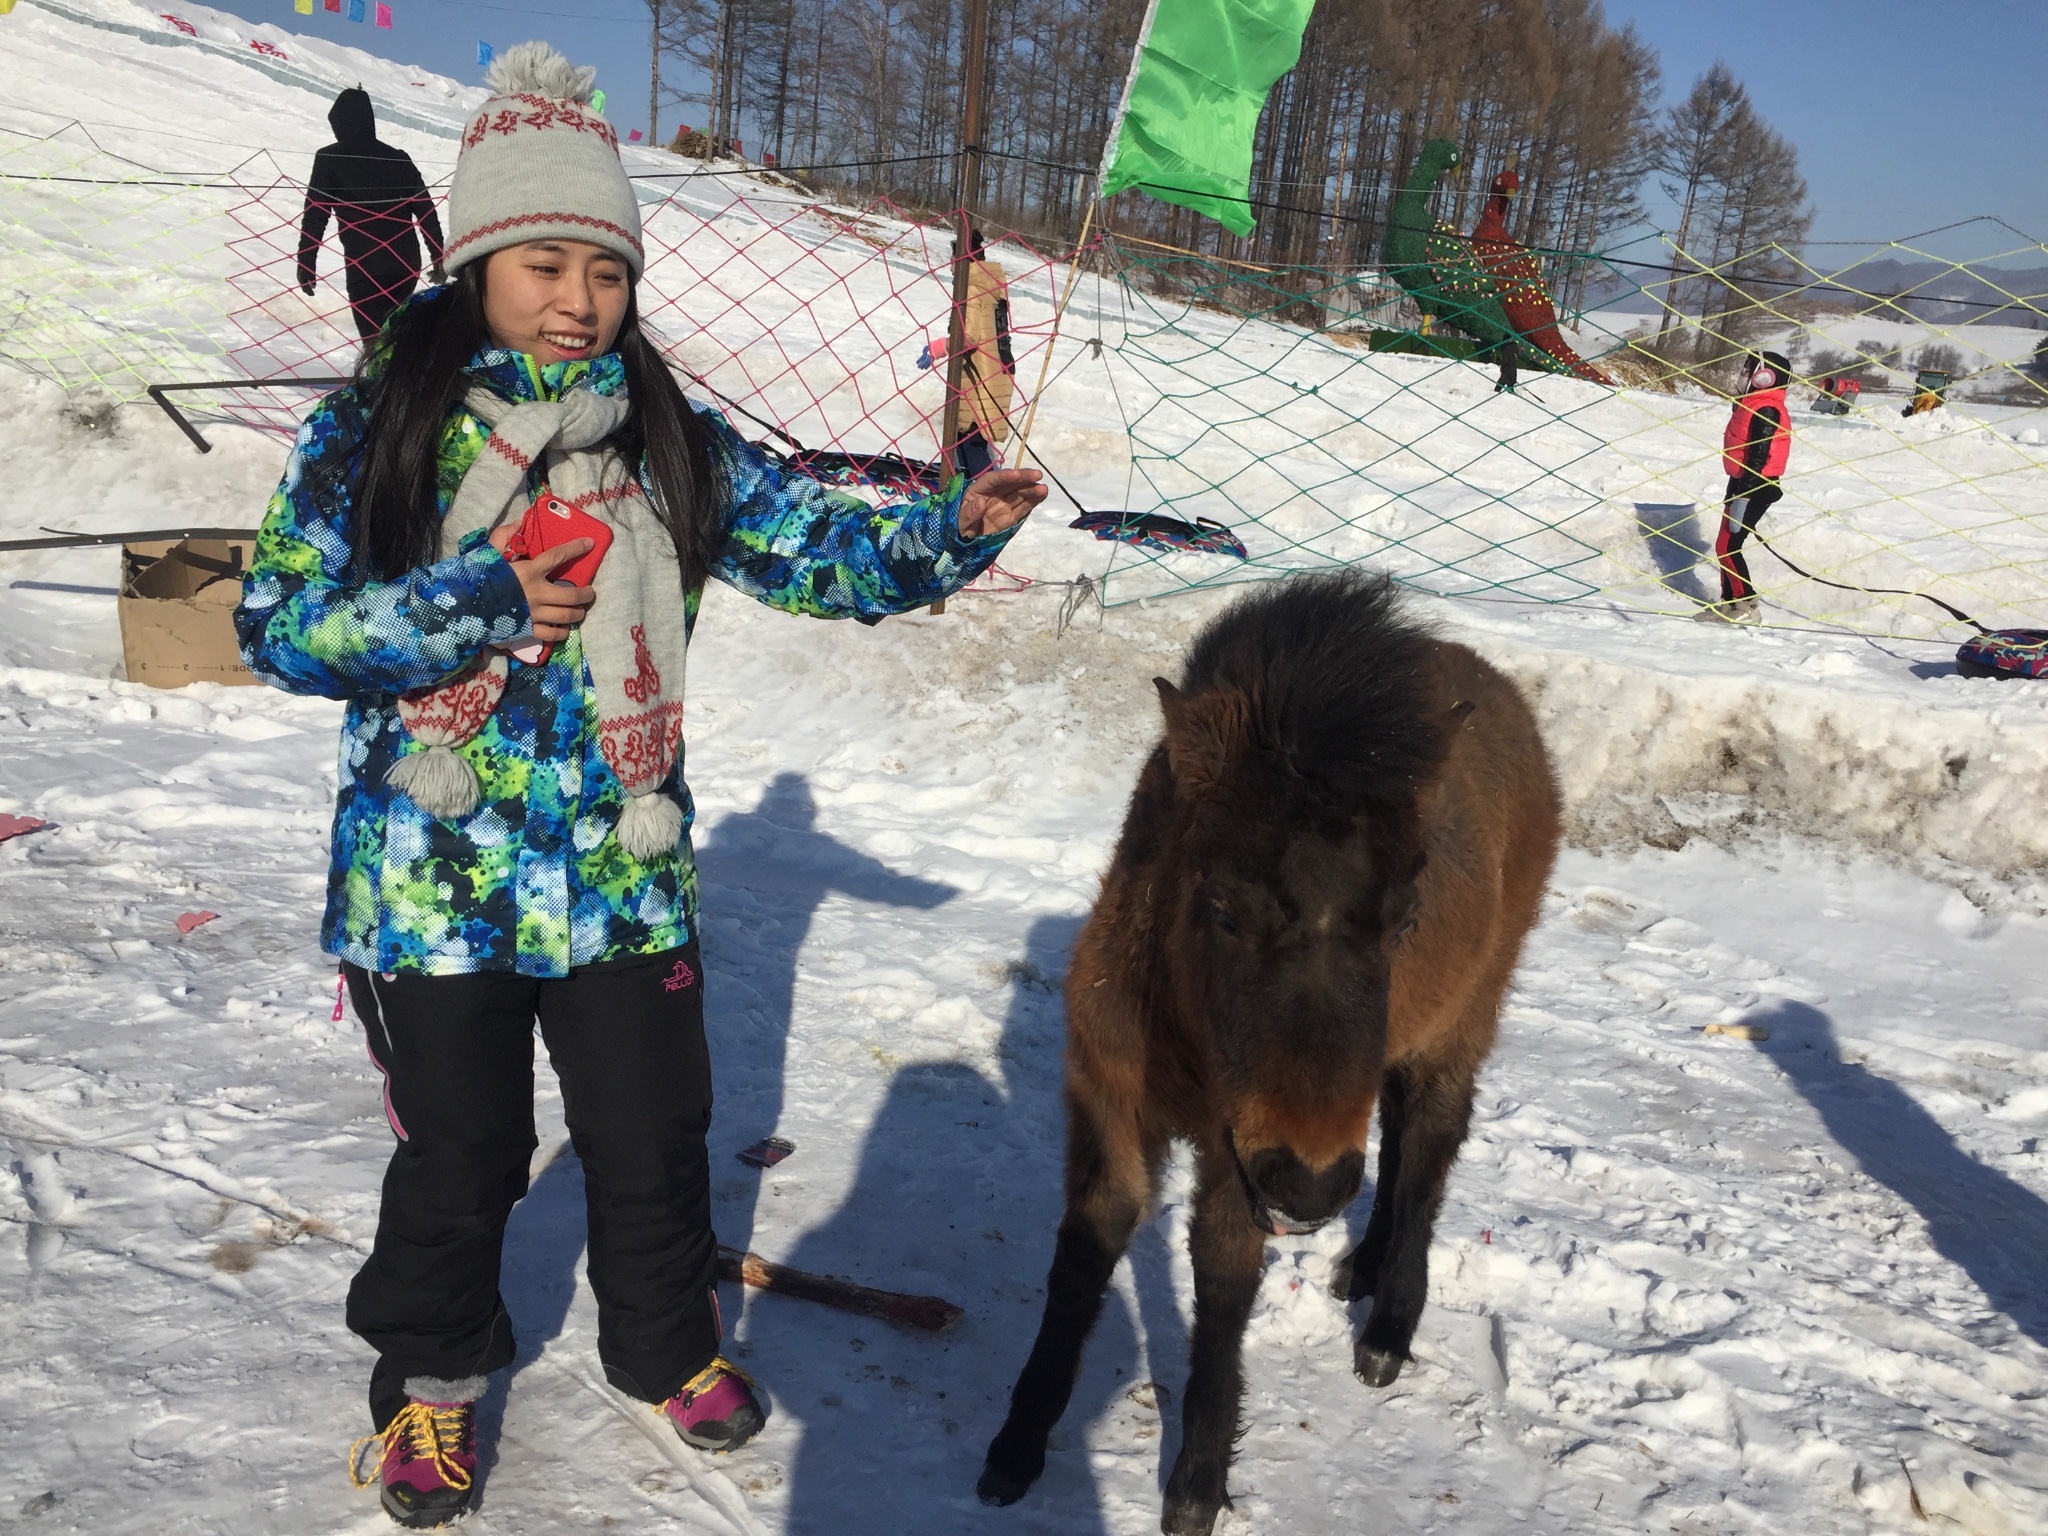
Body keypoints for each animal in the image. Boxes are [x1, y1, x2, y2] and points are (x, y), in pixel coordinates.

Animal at [974, 573, 1548, 1531]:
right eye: (1222, 908)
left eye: (1405, 921)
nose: (1309, 1186)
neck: (1184, 1031)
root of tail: (1500, 694)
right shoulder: (1114, 1107)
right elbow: (1083, 1255)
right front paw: (1017, 1444)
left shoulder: (1233, 1155)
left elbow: (1223, 1285)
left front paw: (1196, 1483)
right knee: (1396, 1140)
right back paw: (1361, 1265)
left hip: (1457, 1026)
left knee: (1427, 1148)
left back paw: (1388, 1327)